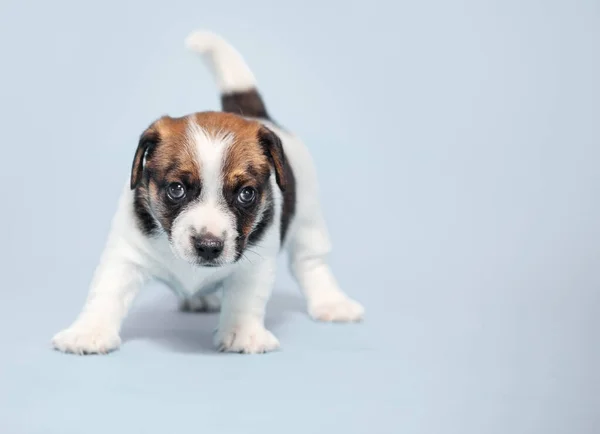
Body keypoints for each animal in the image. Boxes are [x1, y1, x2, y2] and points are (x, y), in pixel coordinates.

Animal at [51, 31, 364, 356]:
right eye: (176, 189)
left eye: (246, 194)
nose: (209, 246)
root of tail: (258, 115)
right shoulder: (126, 253)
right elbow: (106, 292)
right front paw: (89, 331)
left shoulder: (256, 265)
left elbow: (245, 299)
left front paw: (243, 333)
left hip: (309, 221)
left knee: (311, 262)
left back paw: (331, 302)